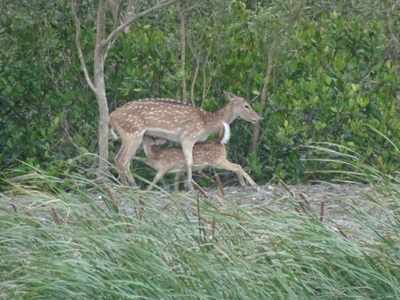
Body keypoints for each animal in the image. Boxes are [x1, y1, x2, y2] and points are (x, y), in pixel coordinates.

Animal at [109, 92, 260, 190]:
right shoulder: (188, 136)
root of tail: (111, 116)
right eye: (246, 105)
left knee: (122, 159)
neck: (207, 124)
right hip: (133, 133)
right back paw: (128, 186)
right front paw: (190, 187)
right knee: (122, 160)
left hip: (129, 136)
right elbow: (189, 161)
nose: (259, 118)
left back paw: (131, 185)